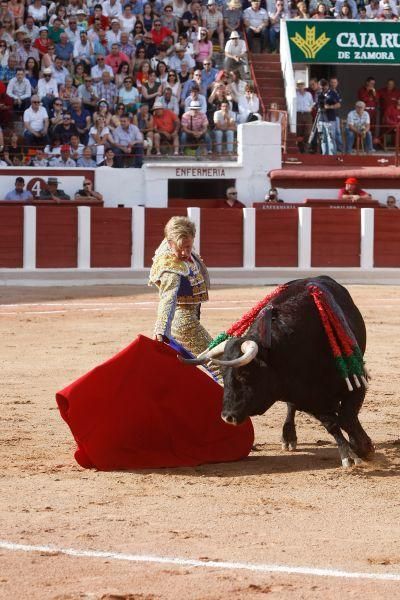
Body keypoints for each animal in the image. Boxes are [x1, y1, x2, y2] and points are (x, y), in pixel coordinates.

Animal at [181, 276, 376, 468]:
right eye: (223, 374)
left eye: (244, 374)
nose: (226, 417)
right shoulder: (305, 398)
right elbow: (332, 423)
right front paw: (349, 454)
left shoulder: (357, 383)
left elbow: (347, 417)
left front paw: (364, 448)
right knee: (292, 408)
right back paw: (288, 437)